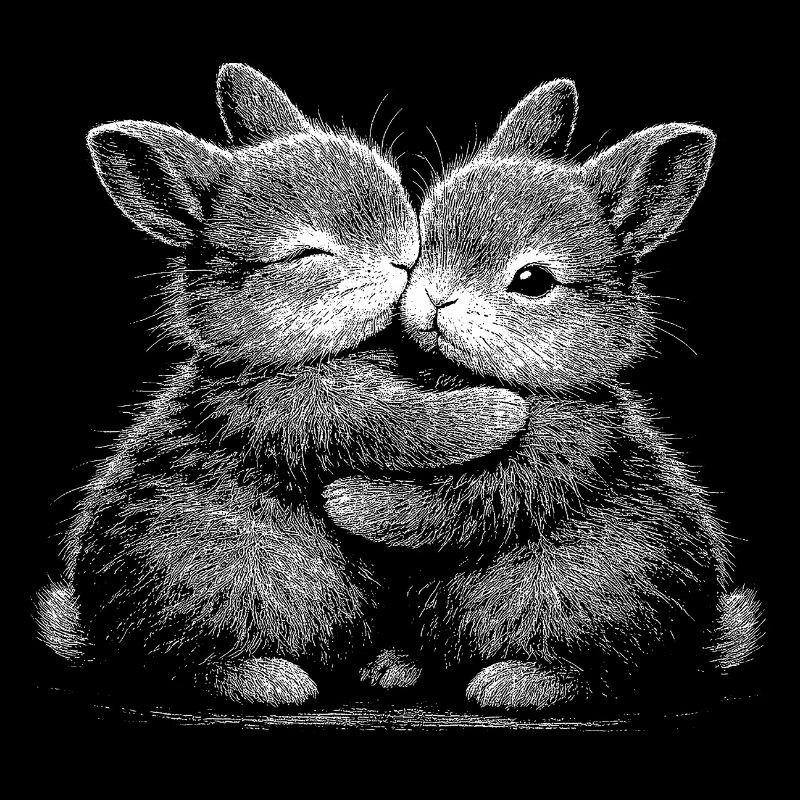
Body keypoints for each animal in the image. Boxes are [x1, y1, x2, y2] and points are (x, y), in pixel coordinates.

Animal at [35, 63, 530, 707]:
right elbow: (408, 426)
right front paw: (501, 410)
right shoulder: (309, 413)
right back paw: (274, 681)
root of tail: (97, 638)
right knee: (182, 667)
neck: (281, 354)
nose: (403, 259)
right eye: (308, 252)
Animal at [324, 80, 763, 711]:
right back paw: (394, 668)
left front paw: (348, 501)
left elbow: (458, 506)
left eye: (533, 281)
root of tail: (696, 647)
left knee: (607, 675)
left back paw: (516, 683)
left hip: (601, 614)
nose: (435, 298)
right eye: (428, 237)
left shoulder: (559, 455)